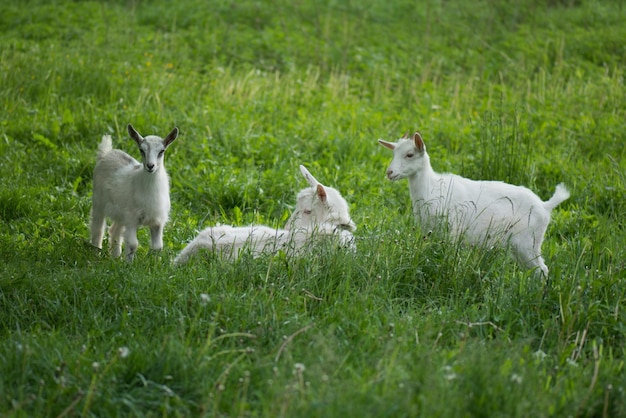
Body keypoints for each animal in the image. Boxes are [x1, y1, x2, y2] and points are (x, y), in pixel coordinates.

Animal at [378, 131, 568, 274]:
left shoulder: (453, 231)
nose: (389, 172)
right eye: (394, 153)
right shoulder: (431, 232)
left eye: (409, 155)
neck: (432, 186)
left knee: (542, 270)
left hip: (528, 243)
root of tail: (545, 205)